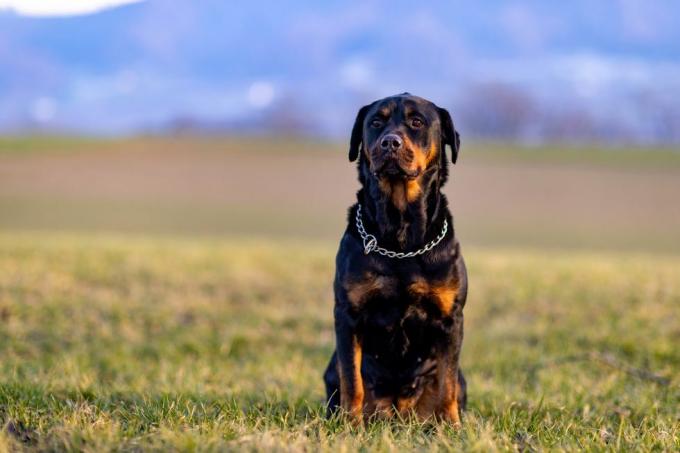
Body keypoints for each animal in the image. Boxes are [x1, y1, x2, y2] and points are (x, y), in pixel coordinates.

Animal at [324, 92, 468, 424]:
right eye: (376, 122)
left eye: (417, 122)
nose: (390, 142)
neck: (401, 240)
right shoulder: (348, 315)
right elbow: (352, 378)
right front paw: (350, 425)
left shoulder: (450, 318)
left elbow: (448, 383)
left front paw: (451, 426)